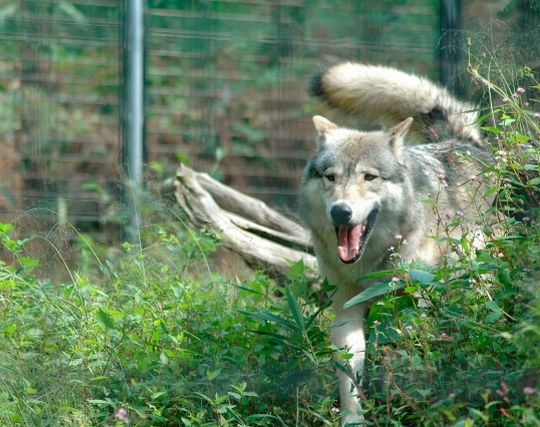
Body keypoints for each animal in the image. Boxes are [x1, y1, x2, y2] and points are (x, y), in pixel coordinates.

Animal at [298, 61, 492, 426]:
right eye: (330, 177)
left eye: (369, 177)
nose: (340, 211)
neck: (368, 264)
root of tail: (463, 143)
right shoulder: (346, 311)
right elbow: (349, 377)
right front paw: (353, 419)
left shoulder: (412, 304)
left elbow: (408, 357)